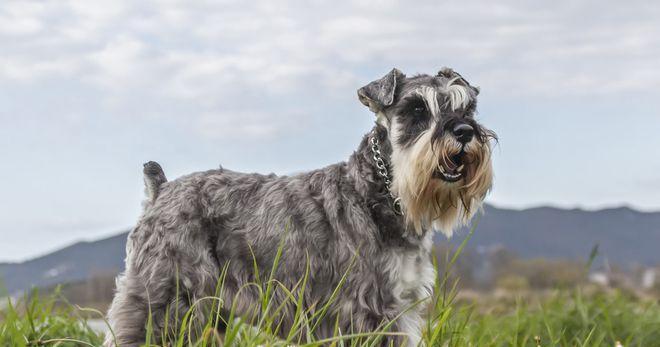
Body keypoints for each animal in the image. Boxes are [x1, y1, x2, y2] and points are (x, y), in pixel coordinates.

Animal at [105, 66, 492, 346]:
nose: (464, 131)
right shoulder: (371, 310)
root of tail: (162, 189)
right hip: (162, 301)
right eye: (416, 109)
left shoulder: (402, 306)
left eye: (467, 107)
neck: (376, 190)